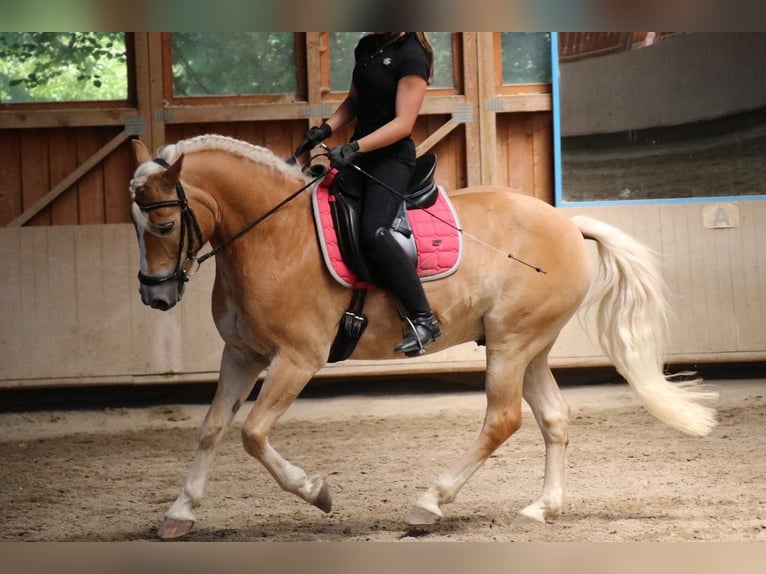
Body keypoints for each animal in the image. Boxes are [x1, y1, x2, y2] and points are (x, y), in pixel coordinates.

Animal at [127, 134, 720, 540]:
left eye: (163, 225)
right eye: (134, 224)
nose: (155, 296)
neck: (274, 235)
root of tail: (568, 223)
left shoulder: (297, 359)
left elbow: (251, 433)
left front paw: (317, 492)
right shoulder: (242, 354)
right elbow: (211, 428)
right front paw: (179, 513)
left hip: (511, 343)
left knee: (502, 420)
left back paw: (430, 503)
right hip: (530, 346)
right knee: (553, 417)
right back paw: (541, 508)